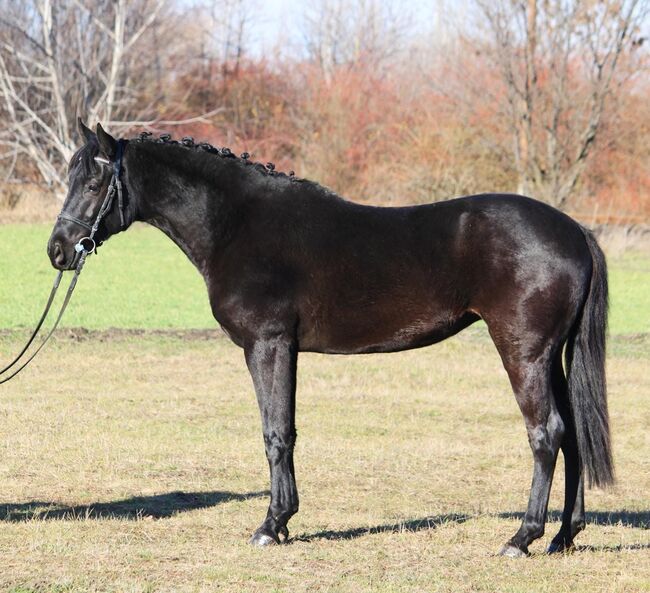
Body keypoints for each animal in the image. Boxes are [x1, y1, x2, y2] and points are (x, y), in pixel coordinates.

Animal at [48, 120, 612, 556]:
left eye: (94, 184)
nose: (58, 250)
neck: (237, 225)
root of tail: (574, 230)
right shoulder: (285, 349)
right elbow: (287, 430)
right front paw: (282, 521)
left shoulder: (268, 344)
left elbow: (276, 433)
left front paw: (271, 526)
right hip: (552, 358)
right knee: (573, 435)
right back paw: (563, 536)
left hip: (525, 353)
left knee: (547, 434)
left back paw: (522, 538)